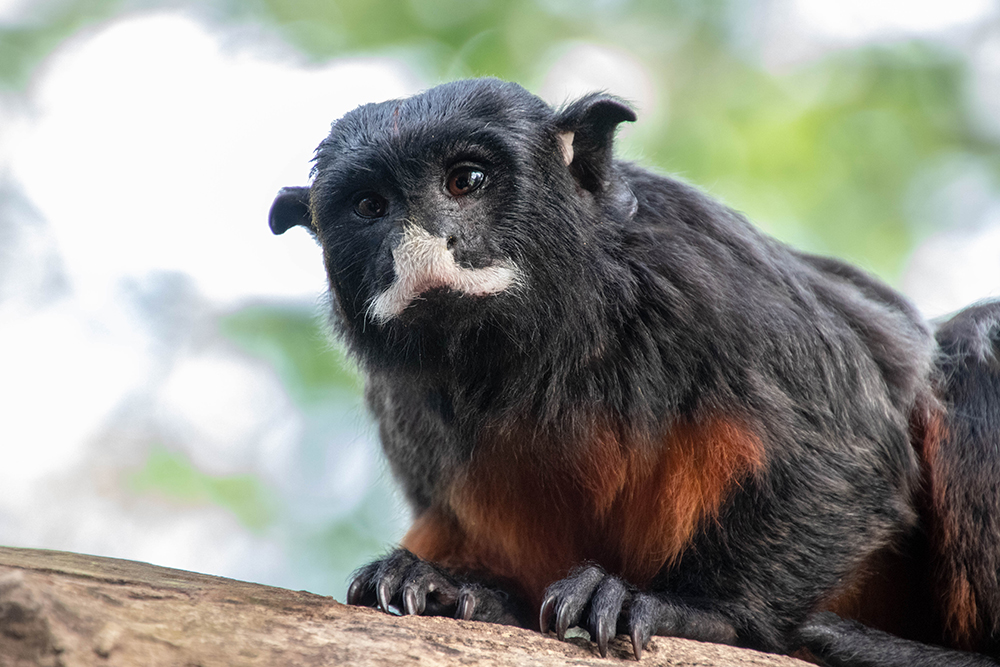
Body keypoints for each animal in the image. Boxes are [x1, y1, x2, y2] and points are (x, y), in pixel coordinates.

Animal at [270, 79, 1000, 667]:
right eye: (371, 207)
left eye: (465, 182)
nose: (420, 243)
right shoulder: (399, 396)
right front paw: (454, 588)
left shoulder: (704, 266)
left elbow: (851, 451)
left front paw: (705, 612)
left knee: (976, 338)